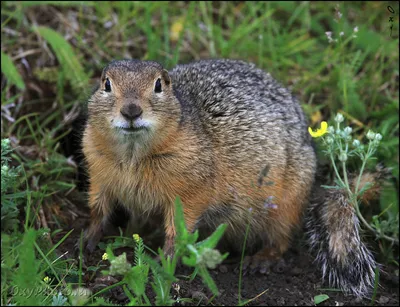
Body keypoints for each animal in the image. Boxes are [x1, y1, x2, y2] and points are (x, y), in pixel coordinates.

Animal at [83, 58, 376, 298]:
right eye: (106, 84)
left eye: (158, 85)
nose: (131, 111)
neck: (132, 154)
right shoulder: (98, 172)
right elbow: (98, 208)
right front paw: (87, 241)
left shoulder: (189, 191)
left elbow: (179, 228)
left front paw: (164, 260)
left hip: (287, 203)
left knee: (282, 239)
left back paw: (260, 260)